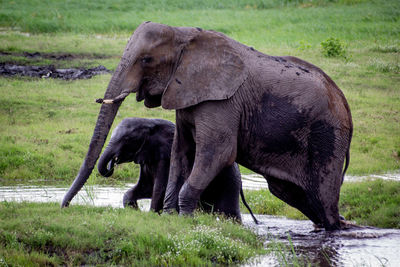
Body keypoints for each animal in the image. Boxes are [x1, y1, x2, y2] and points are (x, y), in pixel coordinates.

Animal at [97, 118, 260, 224]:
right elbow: (146, 187)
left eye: (127, 139)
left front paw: (152, 215)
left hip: (229, 183)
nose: (114, 161)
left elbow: (160, 188)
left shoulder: (167, 159)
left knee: (228, 212)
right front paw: (134, 210)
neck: (150, 123)